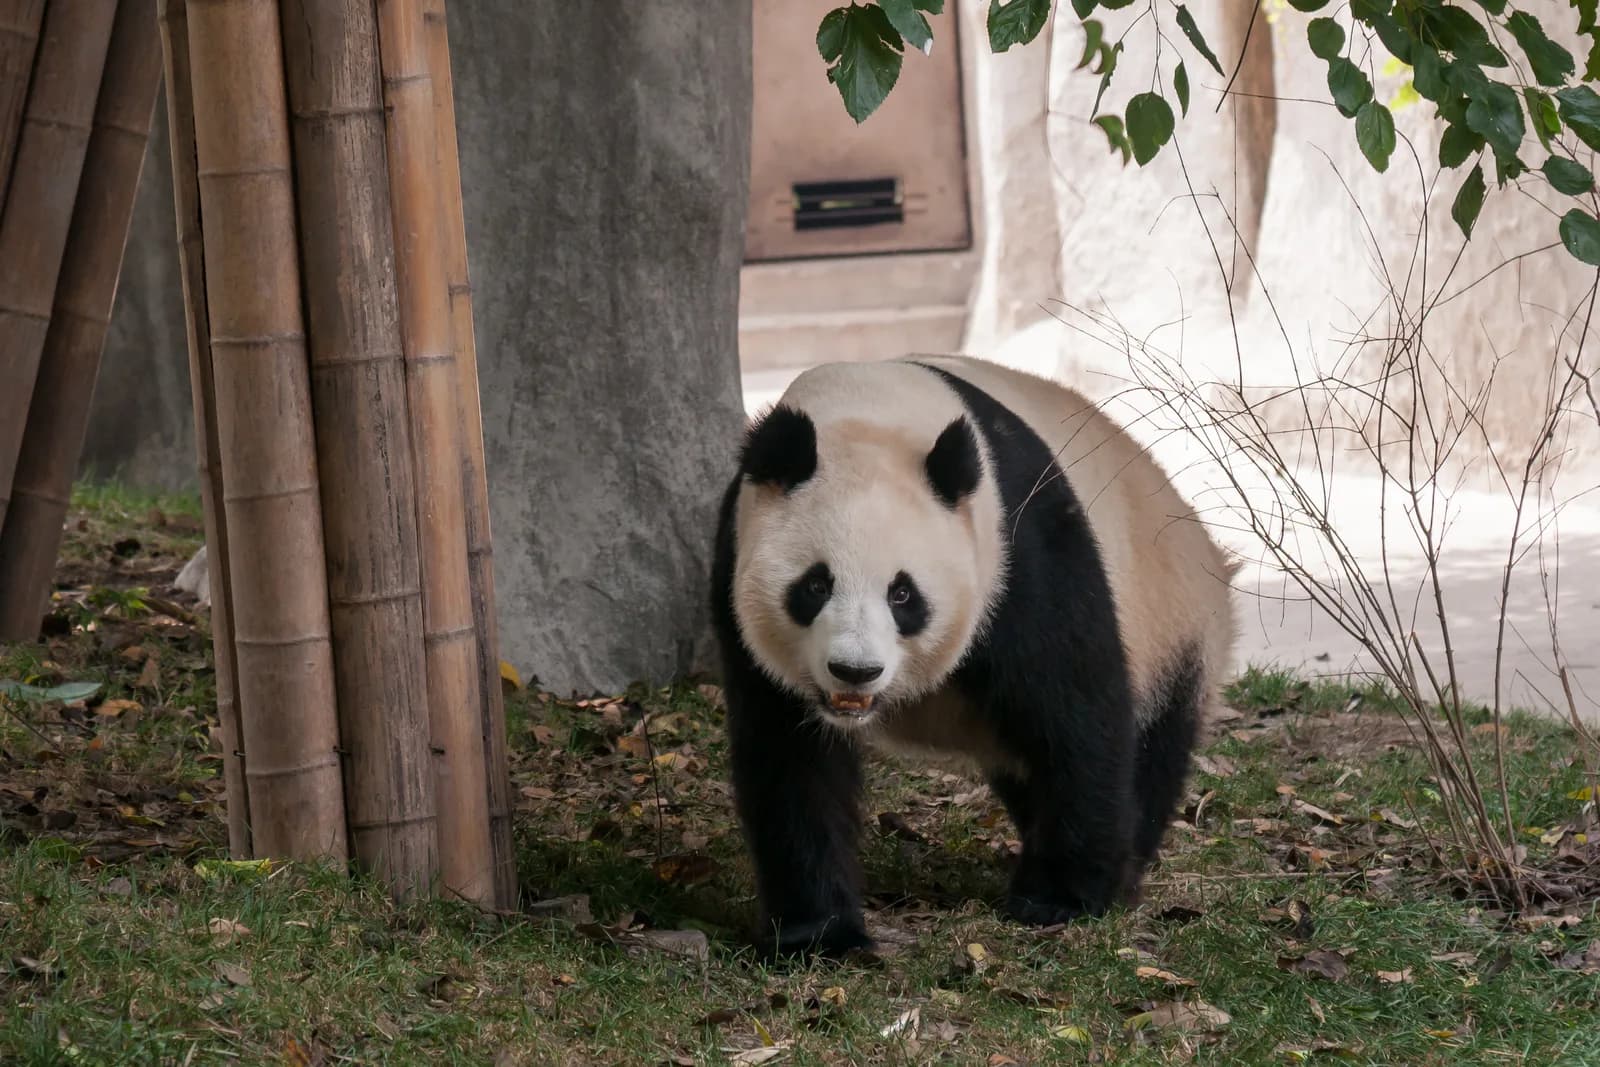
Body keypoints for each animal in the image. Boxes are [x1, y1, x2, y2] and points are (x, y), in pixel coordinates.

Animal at [708, 354, 1238, 959]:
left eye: (903, 594)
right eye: (815, 586)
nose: (855, 672)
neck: (868, 412)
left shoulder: (1019, 548)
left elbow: (1076, 715)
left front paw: (1061, 899)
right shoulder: (736, 568)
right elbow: (792, 763)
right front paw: (820, 935)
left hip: (1173, 625)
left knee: (1150, 746)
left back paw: (1124, 868)